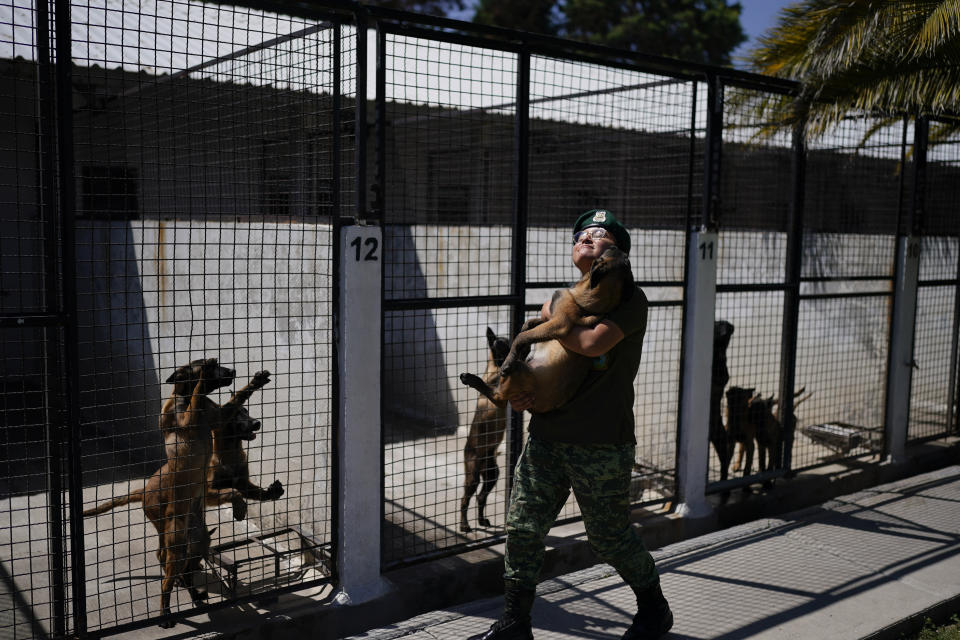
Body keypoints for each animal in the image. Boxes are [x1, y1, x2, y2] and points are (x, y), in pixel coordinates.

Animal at [84, 362, 270, 628]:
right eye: (213, 366)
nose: (233, 371)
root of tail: (143, 490)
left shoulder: (217, 417)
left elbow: (235, 397)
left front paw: (255, 381)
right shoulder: (187, 422)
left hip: (196, 542)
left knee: (185, 569)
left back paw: (194, 593)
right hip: (175, 543)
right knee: (166, 579)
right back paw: (166, 613)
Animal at [462, 245, 632, 416]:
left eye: (614, 251)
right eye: (624, 257)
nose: (614, 246)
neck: (589, 304)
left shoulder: (560, 323)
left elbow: (521, 336)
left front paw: (509, 358)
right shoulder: (551, 318)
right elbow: (530, 324)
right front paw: (524, 336)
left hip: (518, 372)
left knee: (500, 400)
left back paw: (474, 378)